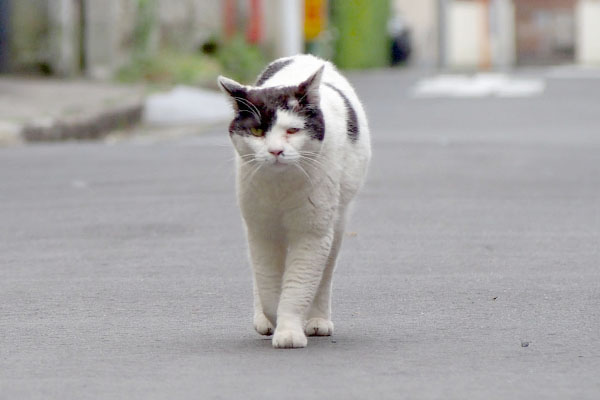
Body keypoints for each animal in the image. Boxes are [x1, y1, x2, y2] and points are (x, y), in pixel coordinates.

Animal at [218, 54, 372, 348]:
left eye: (292, 130)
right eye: (257, 131)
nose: (276, 151)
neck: (282, 186)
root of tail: (307, 57)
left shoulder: (312, 233)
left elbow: (298, 285)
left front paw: (289, 331)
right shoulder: (262, 231)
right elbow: (268, 285)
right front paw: (275, 319)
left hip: (337, 221)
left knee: (324, 275)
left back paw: (317, 321)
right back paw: (264, 322)